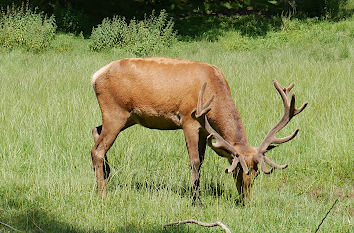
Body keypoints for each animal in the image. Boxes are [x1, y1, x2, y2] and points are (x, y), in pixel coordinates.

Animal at [90, 57, 306, 204]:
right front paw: (197, 201)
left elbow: (201, 161)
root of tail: (95, 76)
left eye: (256, 173)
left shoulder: (204, 130)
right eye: (236, 170)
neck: (214, 90)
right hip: (115, 112)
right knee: (97, 149)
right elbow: (194, 161)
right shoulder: (189, 119)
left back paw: (107, 174)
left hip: (128, 117)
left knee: (95, 130)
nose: (246, 200)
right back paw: (102, 194)